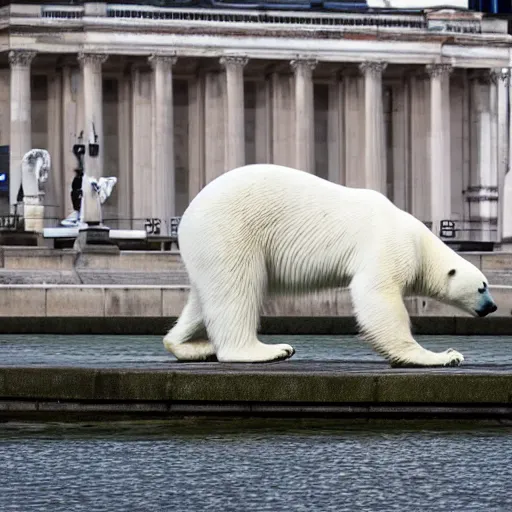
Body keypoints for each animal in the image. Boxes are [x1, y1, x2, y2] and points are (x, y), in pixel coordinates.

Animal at [166, 164, 498, 368]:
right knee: (237, 288)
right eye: (482, 287)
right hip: (231, 231)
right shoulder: (390, 246)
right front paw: (442, 355)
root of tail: (187, 218)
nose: (493, 307)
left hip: (208, 247)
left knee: (204, 298)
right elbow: (378, 296)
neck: (420, 241)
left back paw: (192, 345)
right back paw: (270, 350)